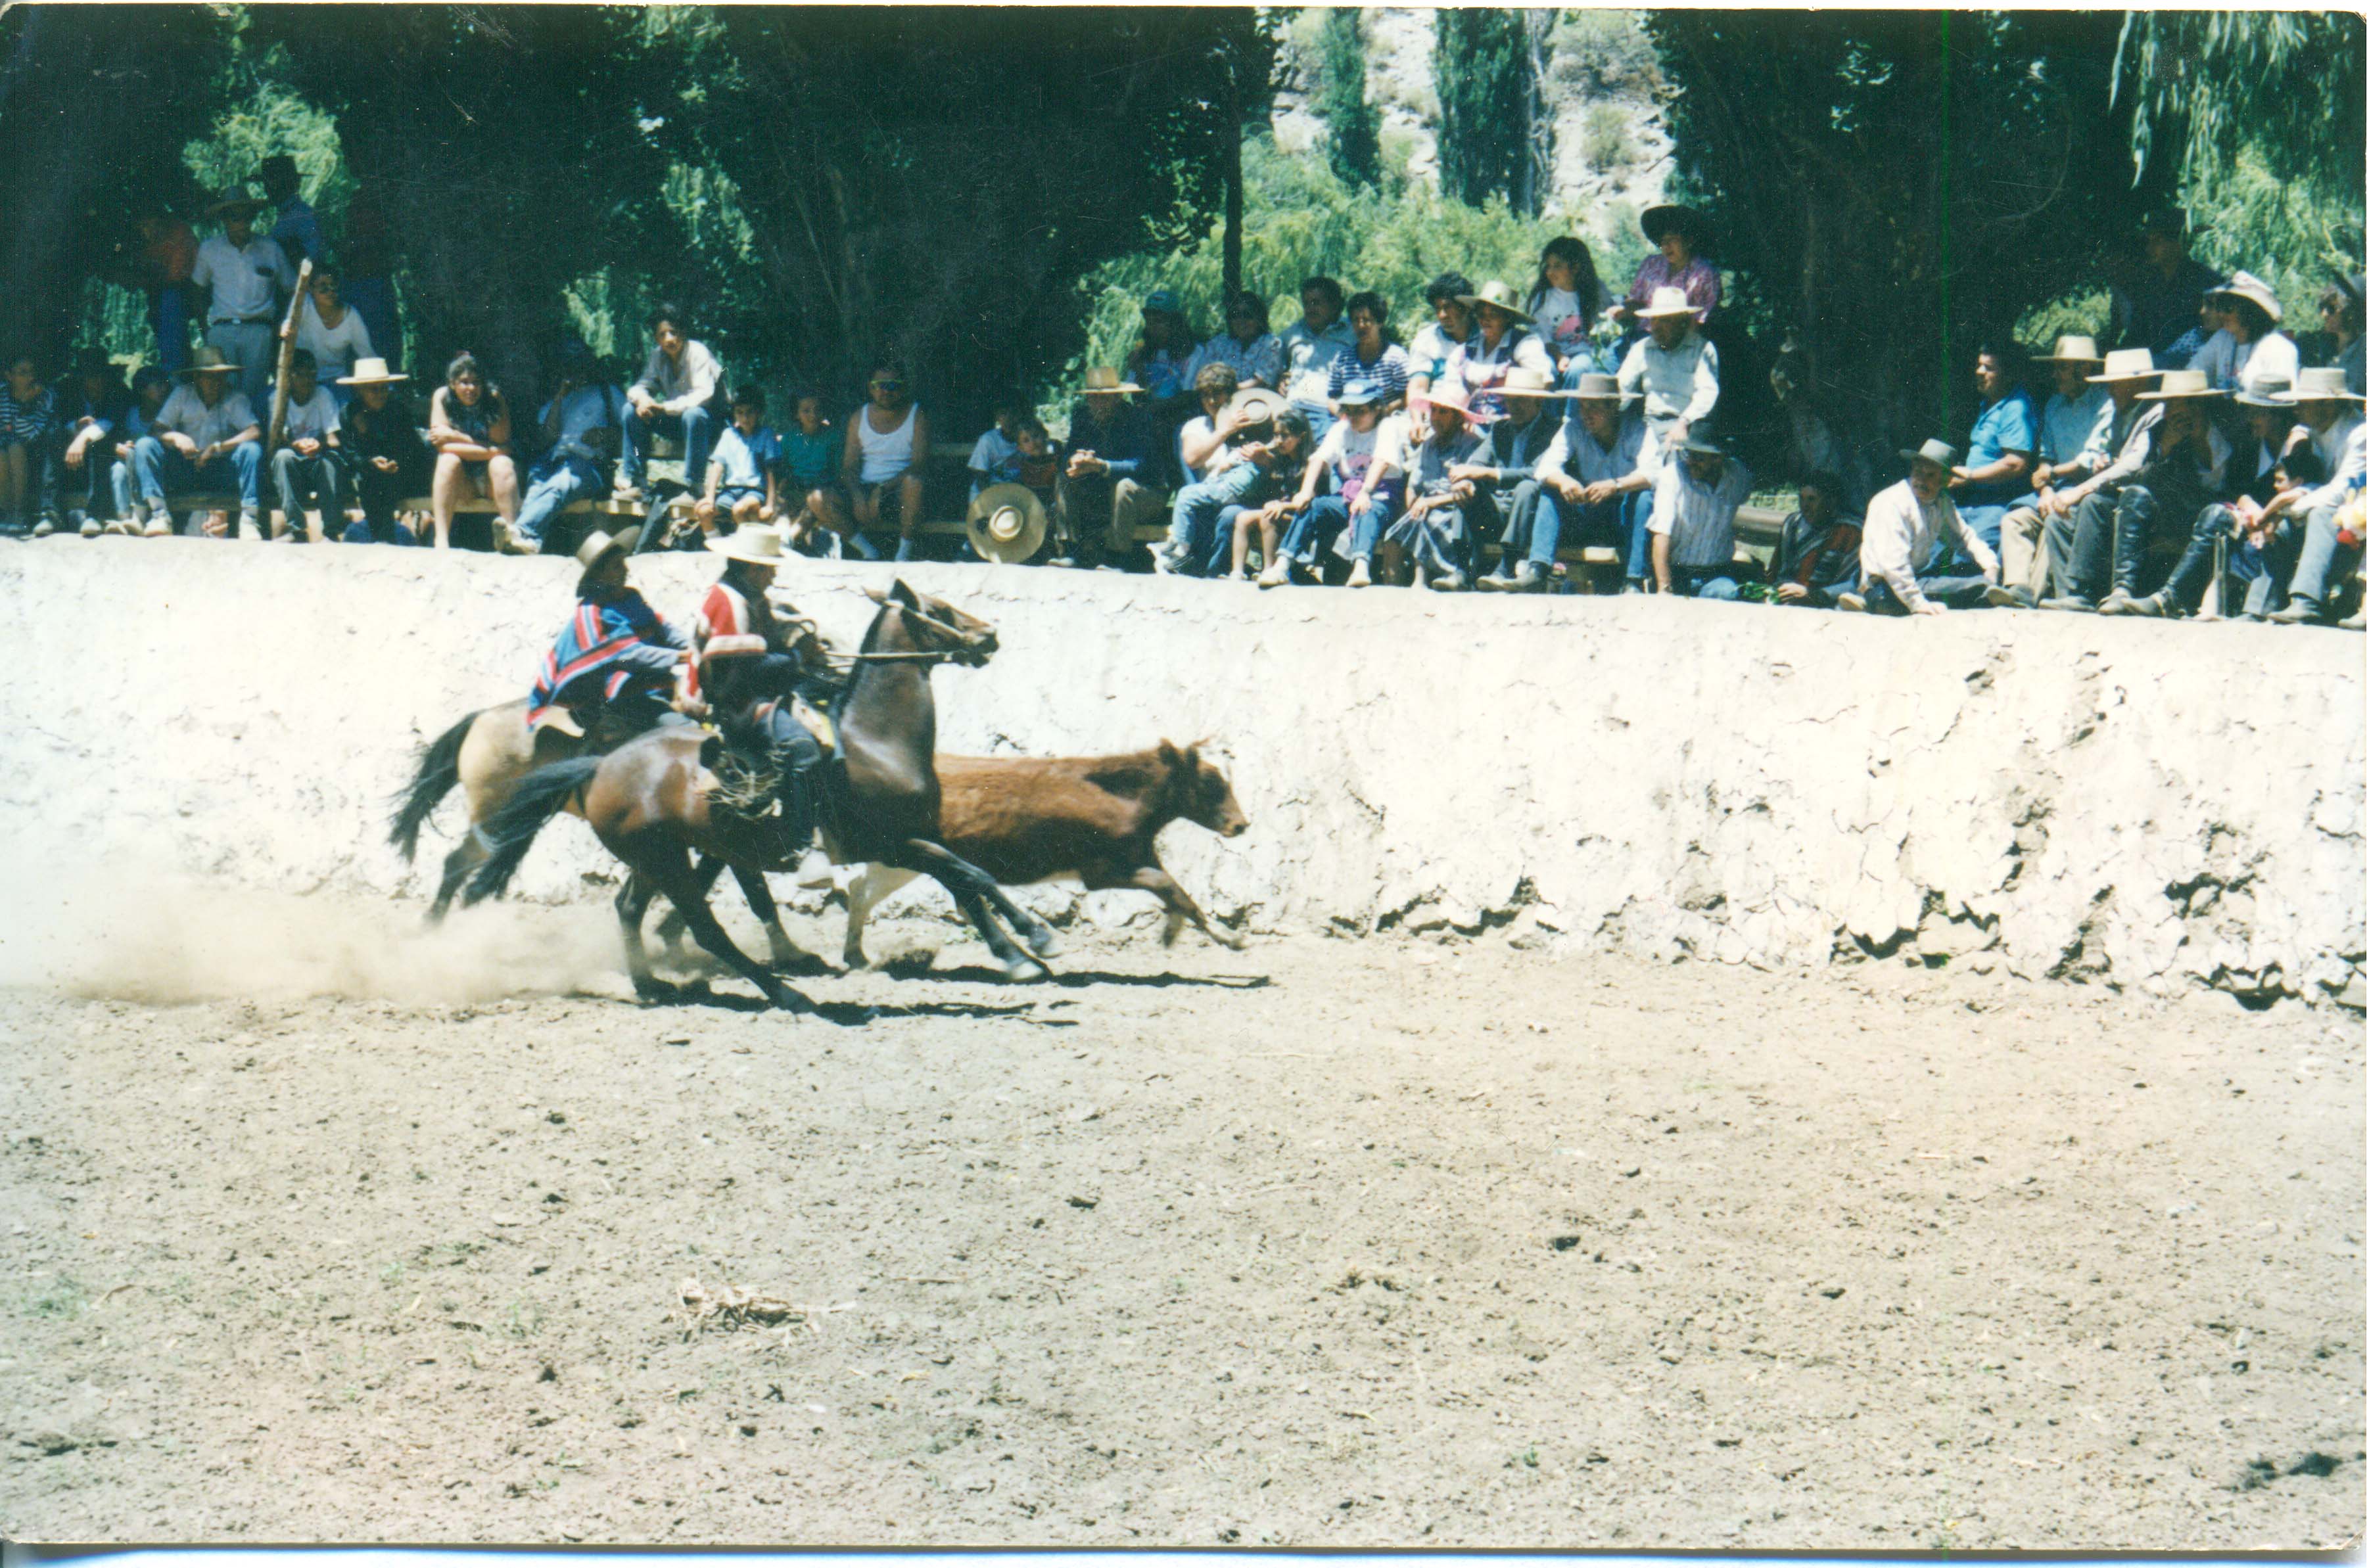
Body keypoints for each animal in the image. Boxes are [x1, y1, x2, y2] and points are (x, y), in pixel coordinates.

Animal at [454, 582, 1065, 1012]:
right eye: (938, 609)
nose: (989, 636)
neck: (873, 743)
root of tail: (601, 763)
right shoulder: (887, 842)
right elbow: (967, 875)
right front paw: (1033, 941)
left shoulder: (912, 838)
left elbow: (967, 881)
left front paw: (1021, 949)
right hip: (663, 859)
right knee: (705, 927)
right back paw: (784, 992)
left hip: (653, 856)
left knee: (629, 907)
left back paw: (652, 983)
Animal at [842, 737, 1250, 969]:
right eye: (1211, 781)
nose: (1241, 825)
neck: (1120, 796)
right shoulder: (1101, 871)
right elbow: (1169, 886)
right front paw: (1227, 937)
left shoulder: (1140, 856)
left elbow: (1180, 894)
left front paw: (1191, 932)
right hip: (905, 856)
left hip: (901, 860)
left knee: (862, 891)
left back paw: (856, 957)